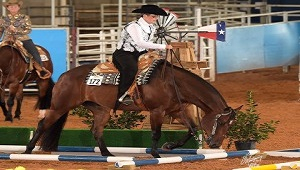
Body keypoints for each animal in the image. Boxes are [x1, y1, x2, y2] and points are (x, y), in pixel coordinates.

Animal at [23, 57, 241, 158]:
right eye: (222, 122)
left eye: (231, 125)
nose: (215, 144)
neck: (172, 82)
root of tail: (63, 76)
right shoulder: (157, 111)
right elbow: (155, 133)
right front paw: (155, 153)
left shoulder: (175, 111)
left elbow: (192, 129)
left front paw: (169, 146)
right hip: (59, 107)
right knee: (42, 125)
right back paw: (27, 150)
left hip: (101, 110)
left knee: (96, 130)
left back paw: (107, 154)